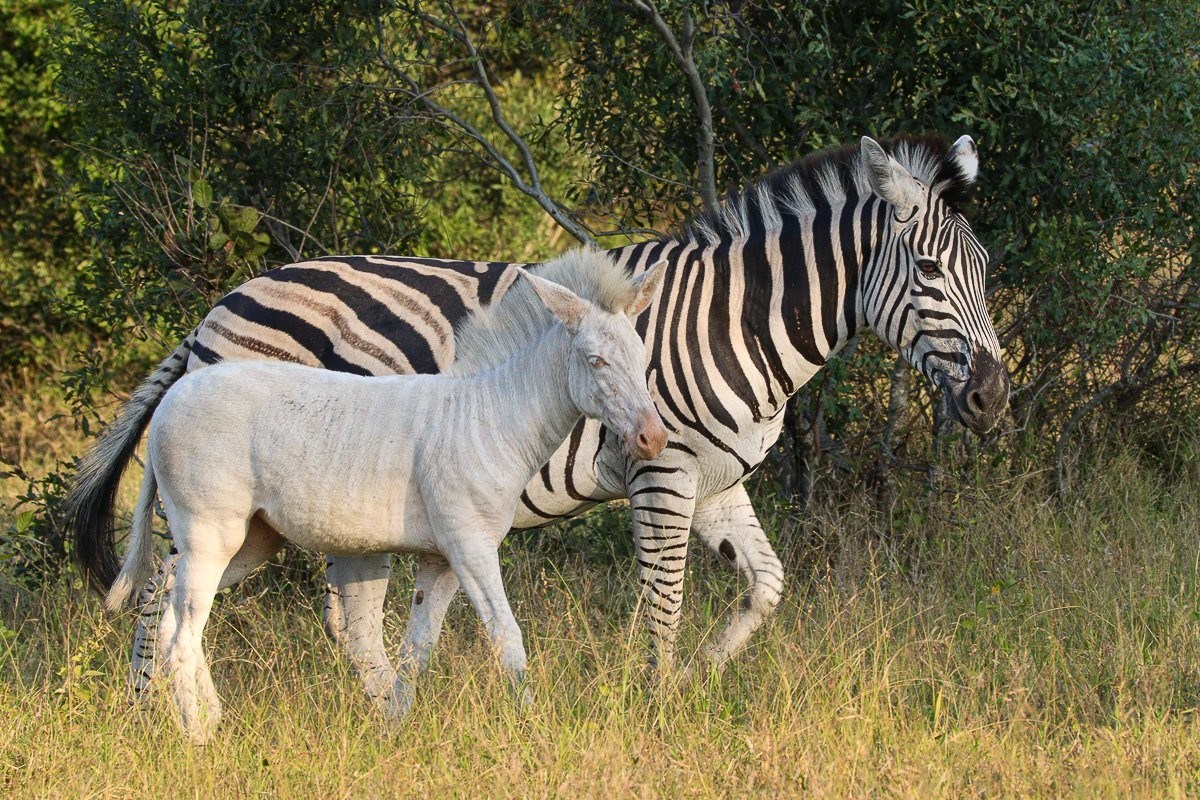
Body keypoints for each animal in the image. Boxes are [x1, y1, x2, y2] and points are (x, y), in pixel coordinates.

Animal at [68, 133, 1010, 695]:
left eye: (987, 269)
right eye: (930, 271)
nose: (994, 396)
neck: (732, 320)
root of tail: (216, 308)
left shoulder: (716, 481)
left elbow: (764, 587)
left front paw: (694, 682)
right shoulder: (661, 472)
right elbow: (662, 602)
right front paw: (651, 706)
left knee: (315, 614)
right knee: (161, 591)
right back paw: (151, 713)